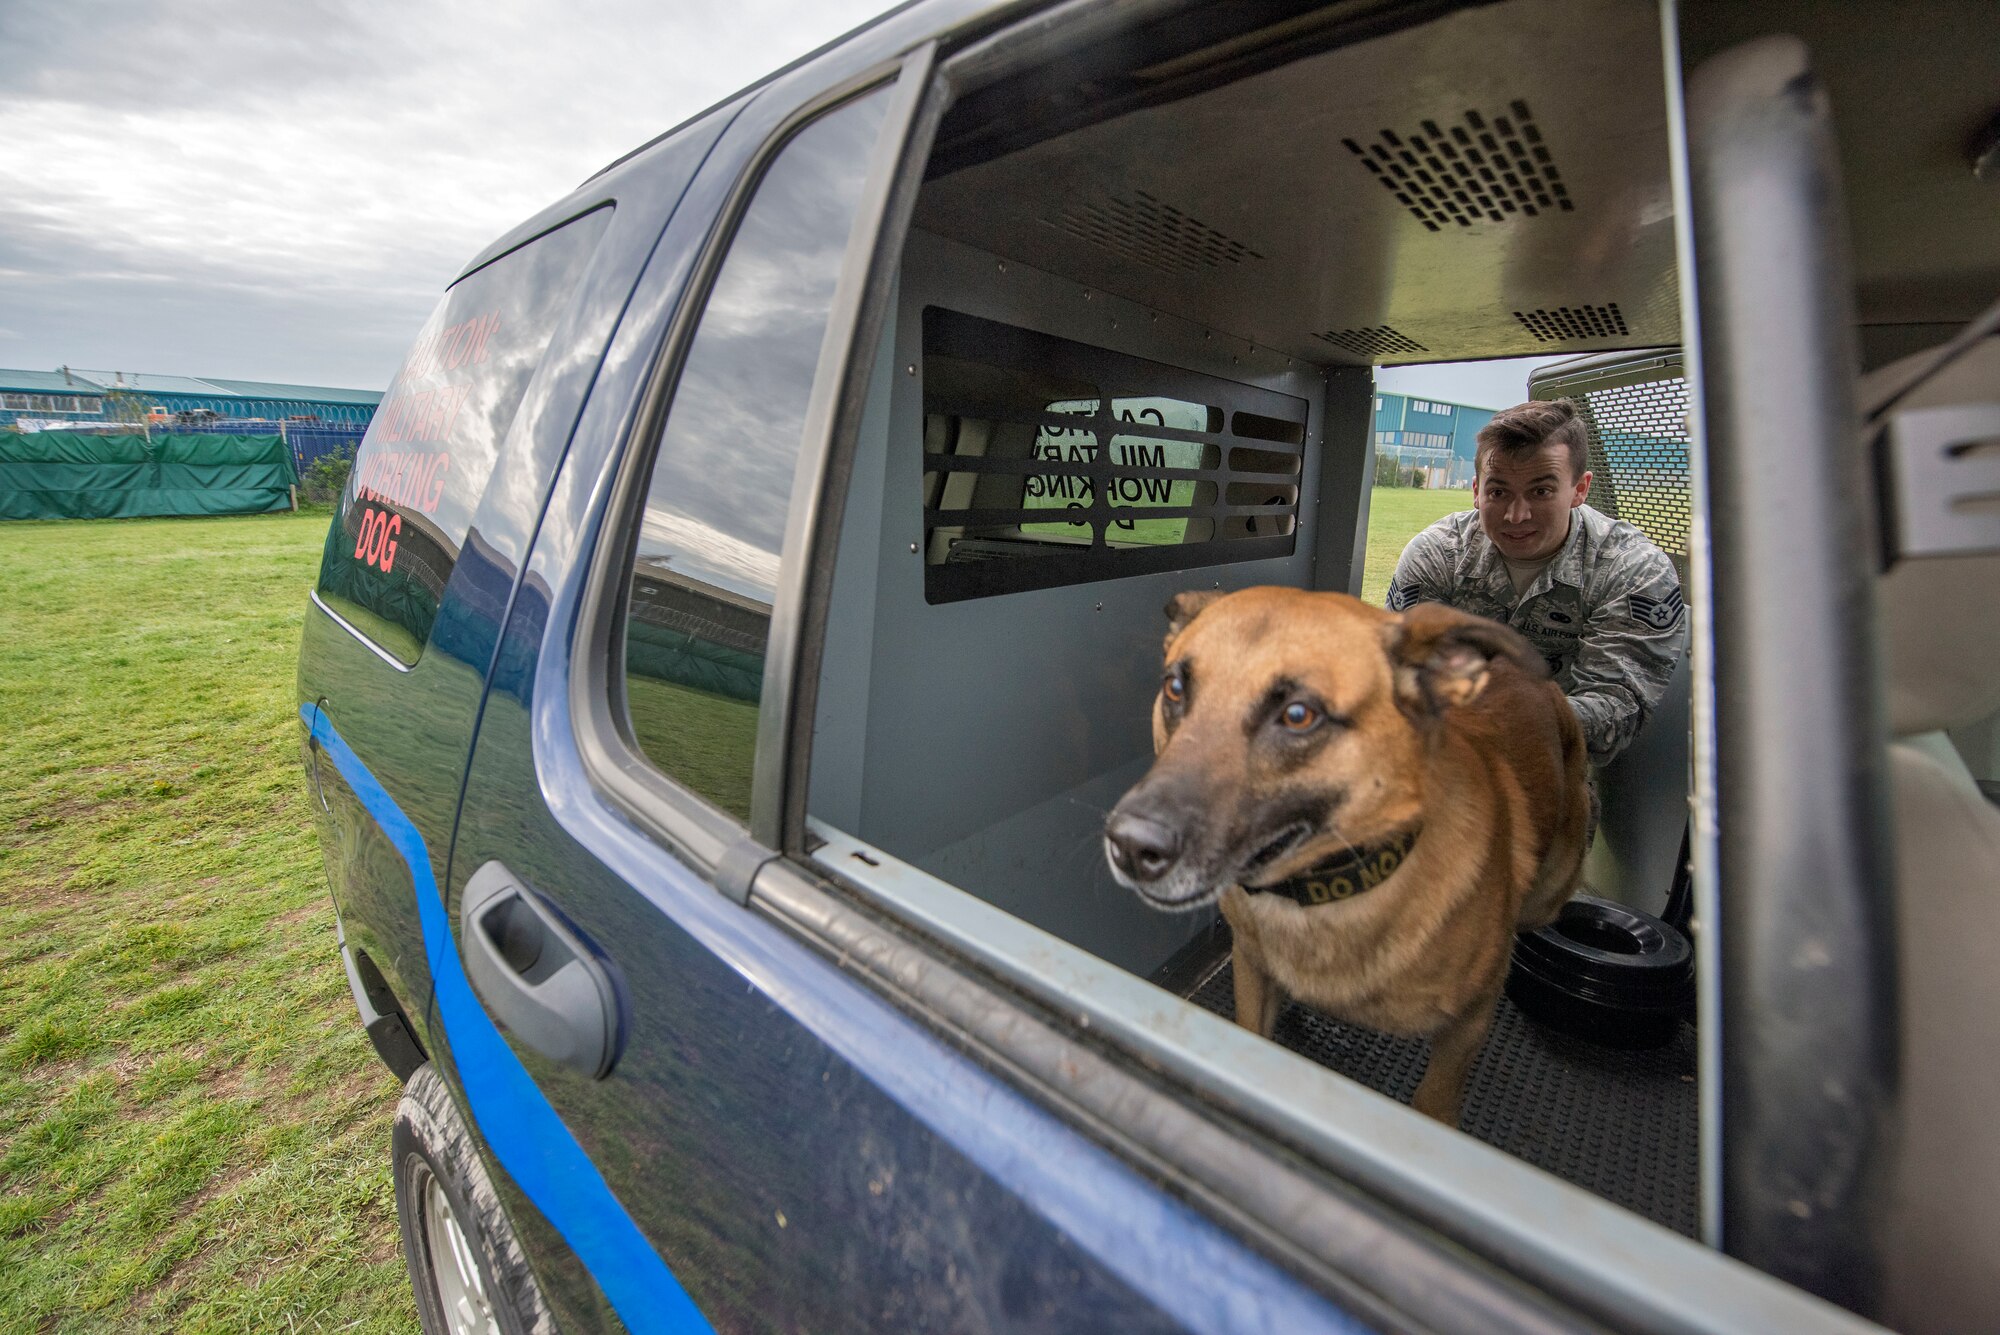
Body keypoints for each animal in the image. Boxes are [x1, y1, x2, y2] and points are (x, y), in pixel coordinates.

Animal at [1104, 587, 1584, 1119]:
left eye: (1298, 715)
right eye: (1174, 688)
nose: (1129, 845)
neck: (1327, 891)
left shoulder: (1467, 1027)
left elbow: (1433, 1100)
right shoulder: (1251, 972)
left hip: (1548, 897)